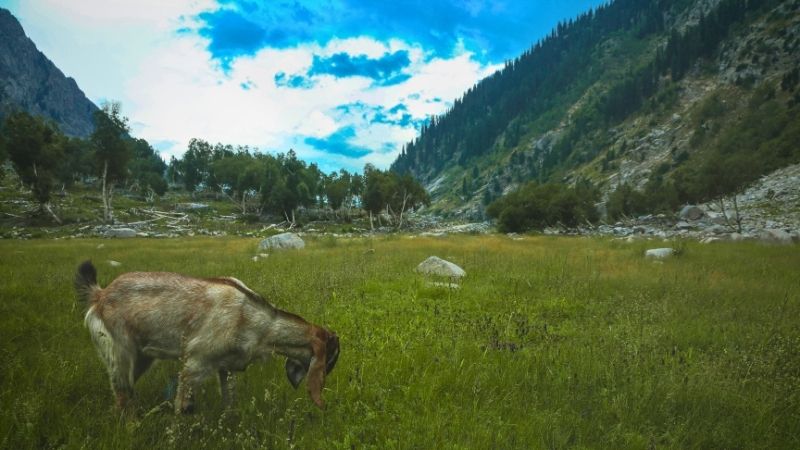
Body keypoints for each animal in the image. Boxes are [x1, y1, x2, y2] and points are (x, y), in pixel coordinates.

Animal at [72, 258, 340, 414]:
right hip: (119, 351)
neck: (259, 321)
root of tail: (100, 295)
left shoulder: (227, 366)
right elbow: (185, 408)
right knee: (121, 393)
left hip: (142, 357)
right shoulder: (195, 362)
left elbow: (230, 403)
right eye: (331, 358)